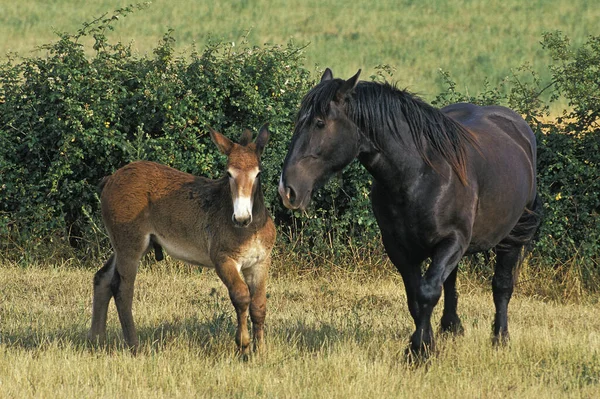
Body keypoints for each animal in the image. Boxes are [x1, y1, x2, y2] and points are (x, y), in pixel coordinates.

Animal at [278, 69, 540, 356]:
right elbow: (415, 297)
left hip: (512, 235)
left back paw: (500, 338)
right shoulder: (399, 248)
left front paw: (420, 351)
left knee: (501, 285)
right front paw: (424, 344)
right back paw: (451, 327)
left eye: (320, 123)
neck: (419, 176)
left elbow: (427, 293)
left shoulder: (452, 241)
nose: (287, 189)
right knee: (450, 282)